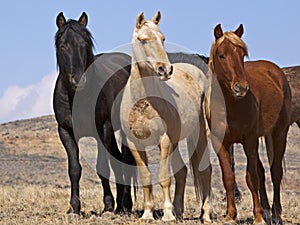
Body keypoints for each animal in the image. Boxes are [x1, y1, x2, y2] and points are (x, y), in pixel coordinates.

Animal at [53, 11, 135, 214]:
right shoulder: (66, 131)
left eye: (85, 45)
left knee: (126, 160)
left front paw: (108, 205)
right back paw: (120, 205)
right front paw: (74, 207)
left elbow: (102, 166)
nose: (78, 80)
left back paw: (125, 205)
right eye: (63, 46)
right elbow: (74, 169)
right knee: (118, 160)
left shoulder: (102, 129)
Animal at [118, 11, 212, 221]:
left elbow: (164, 177)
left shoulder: (165, 140)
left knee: (205, 171)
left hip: (199, 134)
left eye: (162, 39)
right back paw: (179, 211)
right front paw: (148, 214)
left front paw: (167, 215)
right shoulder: (136, 144)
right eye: (143, 40)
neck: (143, 102)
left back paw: (206, 215)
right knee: (182, 172)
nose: (165, 69)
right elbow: (146, 177)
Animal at [207, 23, 292, 224]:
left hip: (279, 133)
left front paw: (258, 216)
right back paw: (268, 211)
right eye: (221, 55)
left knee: (275, 172)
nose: (241, 87)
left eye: (242, 55)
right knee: (262, 171)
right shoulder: (220, 143)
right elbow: (229, 178)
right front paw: (230, 215)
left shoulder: (249, 140)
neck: (230, 106)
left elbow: (251, 178)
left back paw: (275, 214)